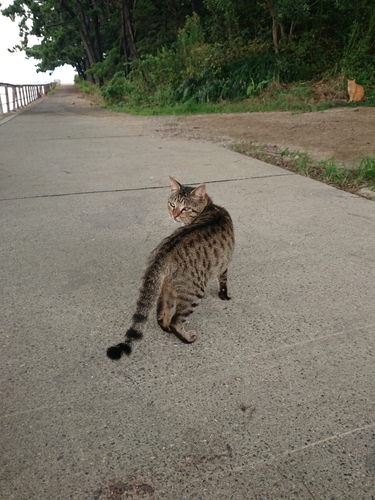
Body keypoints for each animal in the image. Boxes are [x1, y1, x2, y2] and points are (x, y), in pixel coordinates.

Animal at [106, 176, 235, 360]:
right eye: (172, 204)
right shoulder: (224, 263)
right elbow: (223, 281)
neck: (211, 207)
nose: (174, 215)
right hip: (194, 293)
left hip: (166, 288)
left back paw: (165, 327)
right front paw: (225, 296)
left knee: (161, 314)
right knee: (176, 321)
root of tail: (161, 255)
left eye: (185, 208)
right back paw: (187, 337)